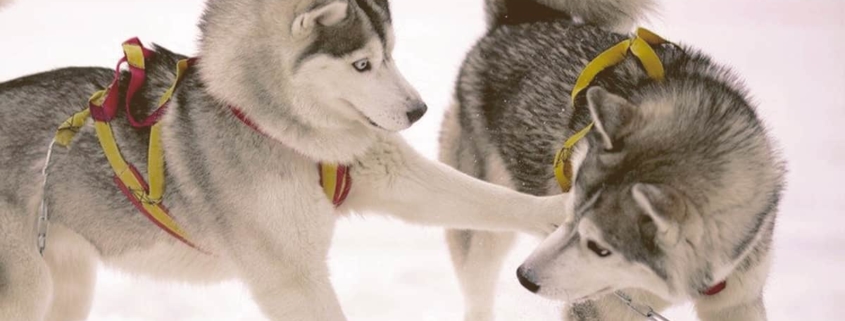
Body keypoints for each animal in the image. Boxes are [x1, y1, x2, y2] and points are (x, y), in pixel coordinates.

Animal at [1, 0, 568, 320]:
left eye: (390, 54)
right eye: (362, 64)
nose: (418, 110)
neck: (275, 127)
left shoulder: (382, 171)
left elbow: (484, 197)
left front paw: (558, 211)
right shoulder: (292, 278)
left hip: (68, 285)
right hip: (28, 289)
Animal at [442, 0, 784, 318]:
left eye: (600, 248)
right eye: (569, 213)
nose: (524, 277)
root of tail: (520, 19)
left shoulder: (738, 297)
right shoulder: (601, 307)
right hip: (485, 226)